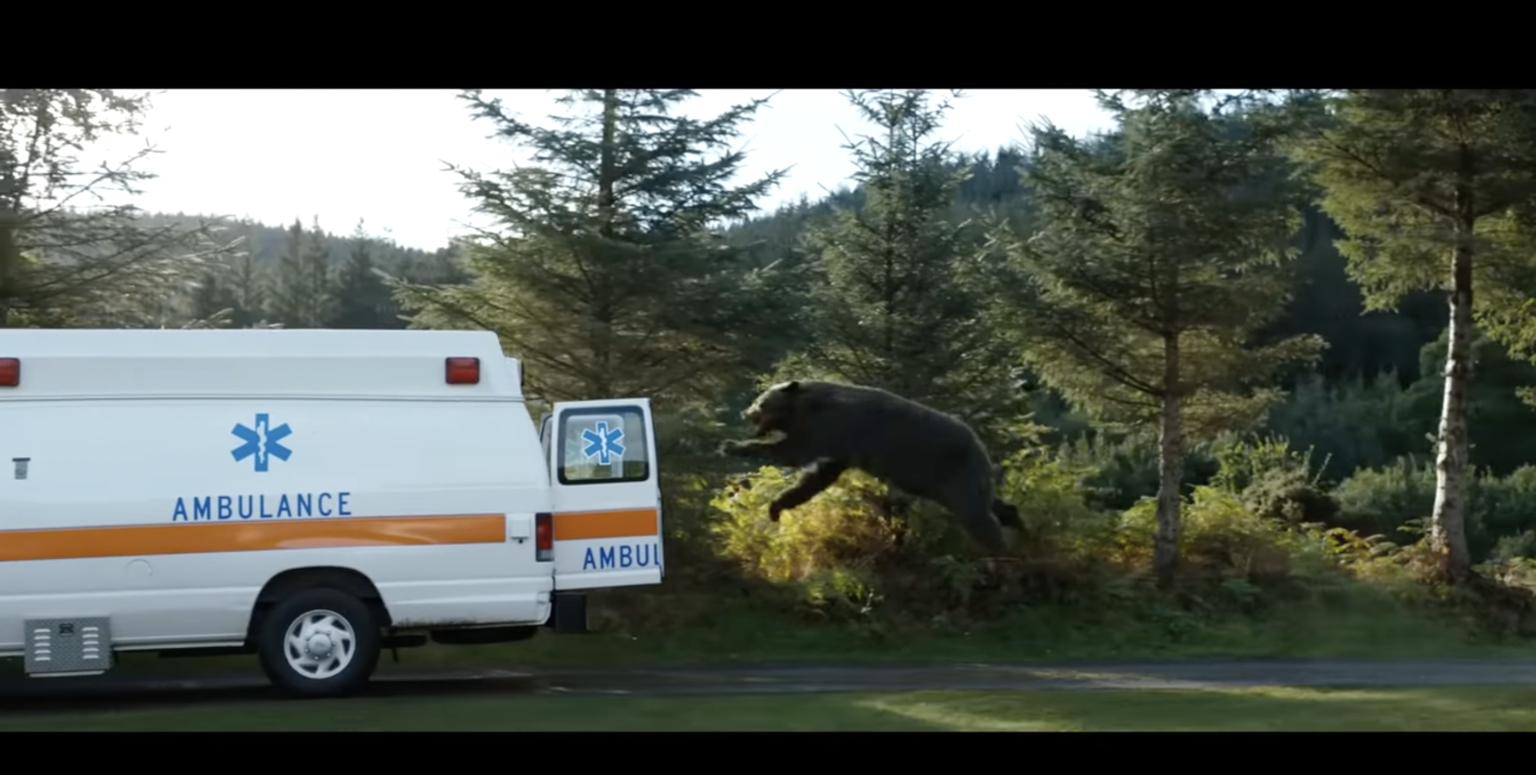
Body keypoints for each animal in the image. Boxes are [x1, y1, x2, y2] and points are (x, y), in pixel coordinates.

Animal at [718, 379, 1022, 555]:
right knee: (994, 505)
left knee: (979, 518)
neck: (805, 408)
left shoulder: (832, 427)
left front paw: (733, 445)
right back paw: (1017, 522)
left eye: (760, 401)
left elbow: (795, 452)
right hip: (958, 481)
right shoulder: (837, 445)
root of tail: (982, 448)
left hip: (956, 477)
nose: (747, 411)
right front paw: (777, 506)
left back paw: (1001, 553)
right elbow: (818, 476)